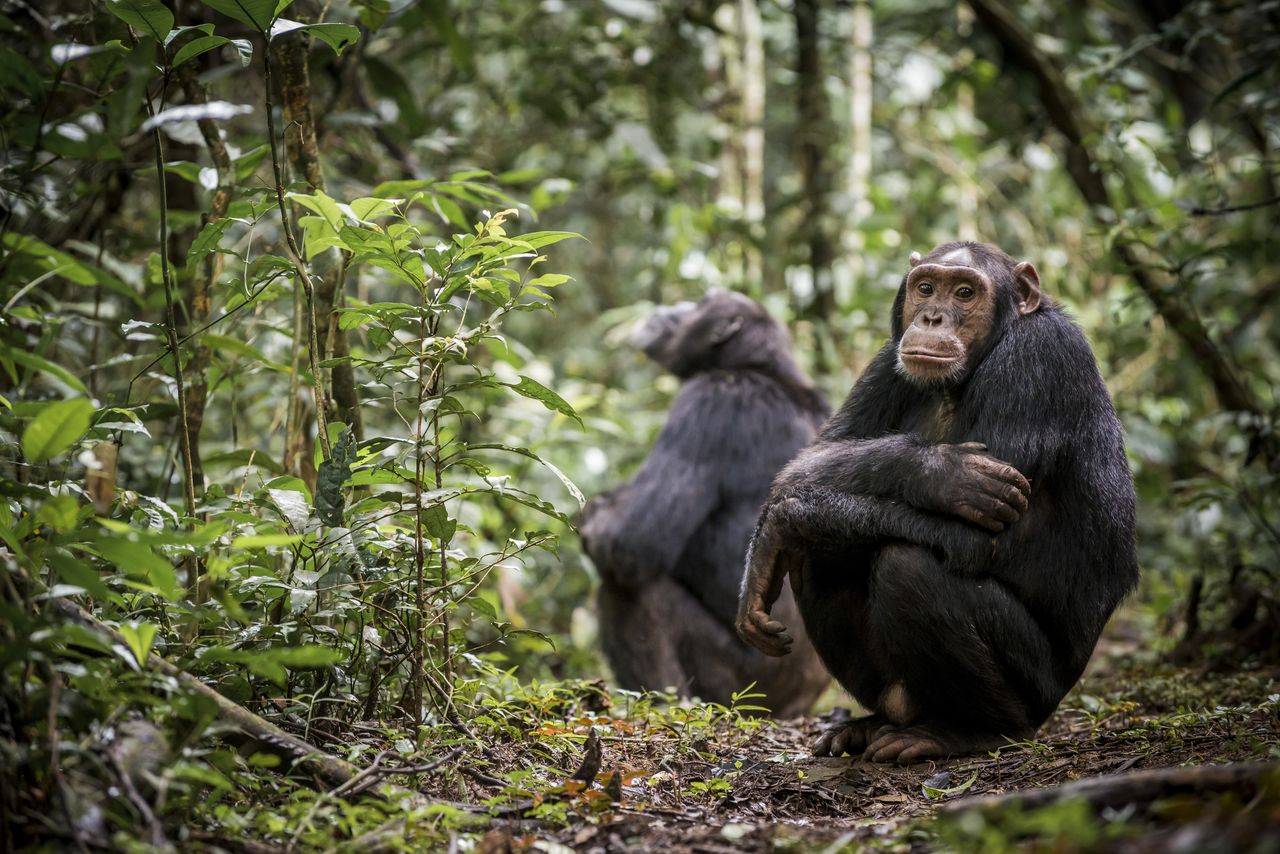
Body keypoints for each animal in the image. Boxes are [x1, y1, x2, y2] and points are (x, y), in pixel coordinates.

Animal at [581, 290, 829, 717]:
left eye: (701, 302)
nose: (674, 307)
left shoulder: (710, 401)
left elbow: (628, 541)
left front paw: (595, 515)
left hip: (743, 688)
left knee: (634, 591)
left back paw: (665, 705)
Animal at [742, 240, 1141, 763]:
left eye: (965, 292)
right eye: (927, 288)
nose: (932, 317)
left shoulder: (1038, 359)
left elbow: (977, 540)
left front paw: (784, 521)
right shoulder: (885, 361)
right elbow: (815, 456)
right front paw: (941, 474)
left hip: (1037, 691)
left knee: (907, 567)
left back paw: (969, 731)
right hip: (897, 691)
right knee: (821, 556)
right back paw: (868, 726)